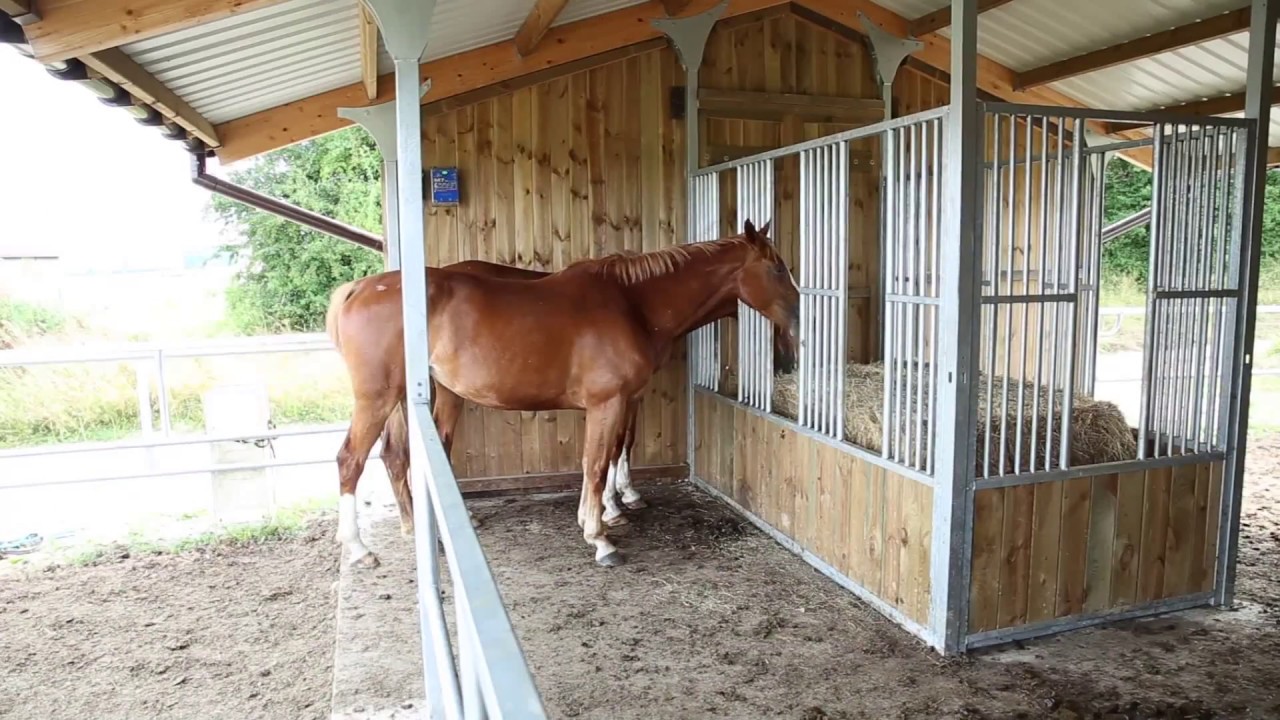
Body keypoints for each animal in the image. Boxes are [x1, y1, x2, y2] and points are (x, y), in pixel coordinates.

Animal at [408, 257, 796, 529]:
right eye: (778, 269)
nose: (786, 360)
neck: (640, 306)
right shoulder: (622, 397)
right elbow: (616, 446)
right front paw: (615, 506)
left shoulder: (630, 395)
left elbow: (621, 443)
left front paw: (620, 499)